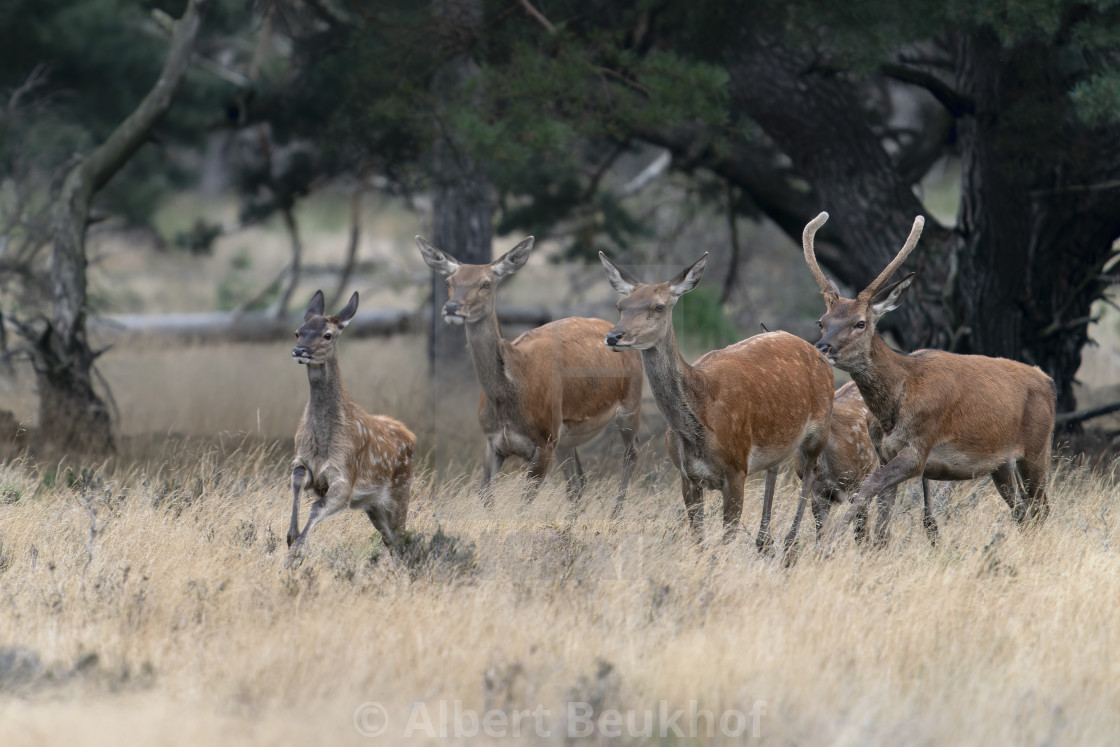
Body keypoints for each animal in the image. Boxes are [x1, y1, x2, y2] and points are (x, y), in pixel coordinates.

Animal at [284, 291, 416, 566]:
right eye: (298, 332)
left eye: (327, 335)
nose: (300, 350)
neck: (323, 442)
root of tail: (411, 436)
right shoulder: (302, 460)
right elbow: (297, 482)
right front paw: (291, 537)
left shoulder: (345, 475)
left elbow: (317, 506)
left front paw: (296, 553)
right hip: (373, 507)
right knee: (391, 541)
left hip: (400, 492)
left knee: (402, 537)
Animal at [416, 236, 645, 506]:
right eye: (449, 281)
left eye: (486, 283)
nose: (452, 307)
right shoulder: (492, 442)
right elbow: (485, 496)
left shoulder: (545, 440)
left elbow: (523, 504)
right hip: (568, 437)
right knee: (578, 484)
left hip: (630, 404)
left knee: (631, 453)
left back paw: (616, 510)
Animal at [600, 249, 837, 548]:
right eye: (621, 305)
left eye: (658, 306)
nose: (614, 336)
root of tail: (818, 351)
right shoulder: (686, 476)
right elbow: (699, 539)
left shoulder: (736, 470)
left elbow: (725, 542)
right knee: (774, 469)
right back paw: (763, 540)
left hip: (821, 426)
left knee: (811, 473)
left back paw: (791, 540)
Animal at [801, 210, 1052, 544]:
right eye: (822, 321)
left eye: (860, 323)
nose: (822, 348)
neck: (892, 409)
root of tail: (1047, 380)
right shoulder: (883, 452)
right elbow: (883, 518)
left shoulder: (919, 447)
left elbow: (868, 487)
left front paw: (829, 543)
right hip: (1001, 463)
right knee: (1022, 511)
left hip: (1037, 449)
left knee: (1041, 508)